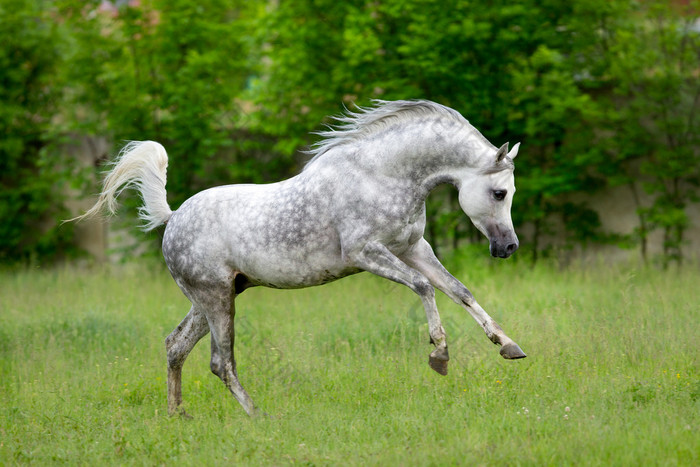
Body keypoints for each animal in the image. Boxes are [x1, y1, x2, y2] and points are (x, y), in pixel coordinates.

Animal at [75, 99, 524, 416]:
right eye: (499, 192)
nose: (508, 248)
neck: (382, 175)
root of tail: (172, 218)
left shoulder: (413, 248)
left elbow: (459, 291)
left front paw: (508, 346)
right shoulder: (367, 253)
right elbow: (425, 287)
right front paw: (439, 355)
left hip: (213, 298)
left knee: (175, 347)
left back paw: (177, 415)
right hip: (217, 300)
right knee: (221, 363)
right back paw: (257, 416)